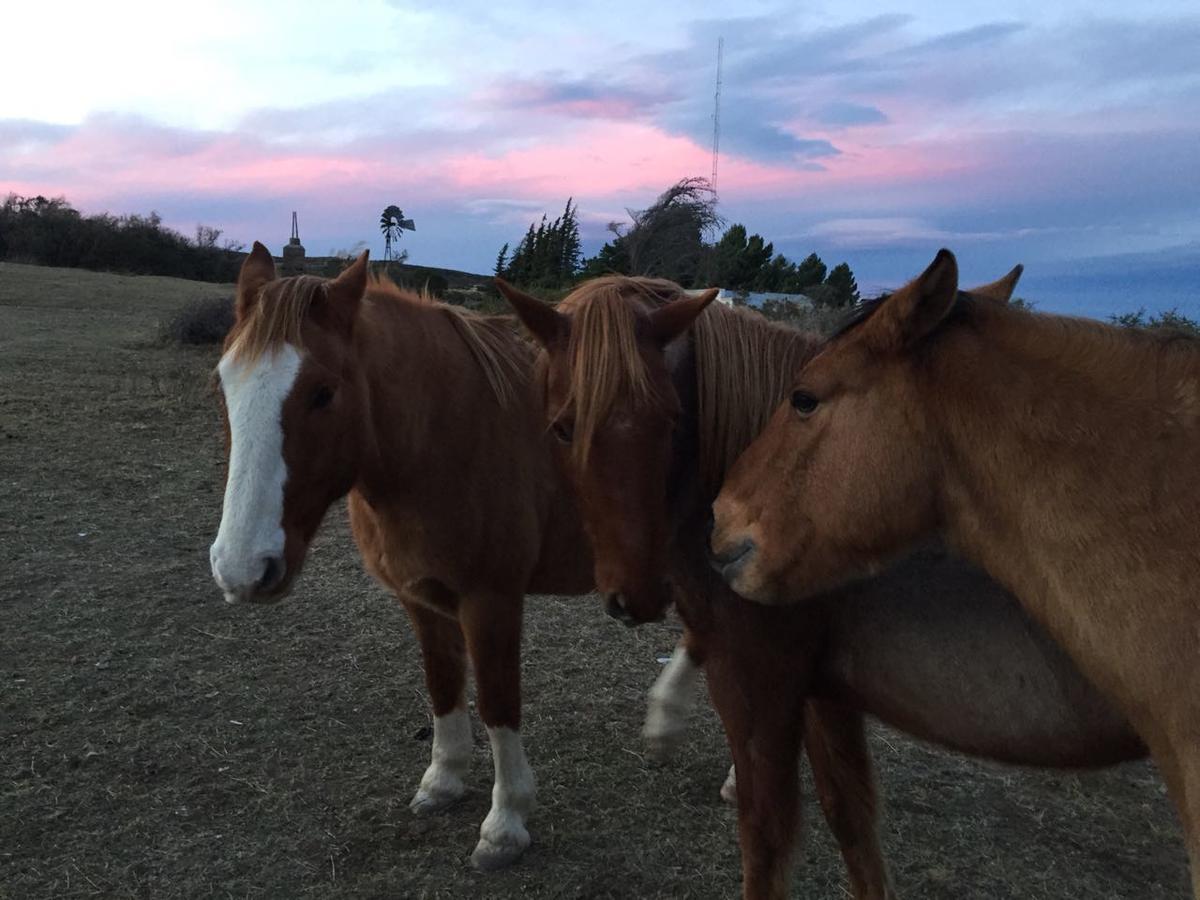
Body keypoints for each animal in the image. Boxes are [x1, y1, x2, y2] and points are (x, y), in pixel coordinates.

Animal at [210, 243, 600, 868]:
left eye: (323, 392)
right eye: (225, 384)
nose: (242, 568)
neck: (449, 436)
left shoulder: (492, 603)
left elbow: (498, 701)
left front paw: (505, 822)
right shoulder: (420, 597)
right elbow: (442, 685)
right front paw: (444, 781)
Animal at [496, 274, 1142, 900]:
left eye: (672, 420)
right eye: (562, 429)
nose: (638, 595)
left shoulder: (757, 679)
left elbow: (767, 837)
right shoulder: (825, 690)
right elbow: (851, 821)